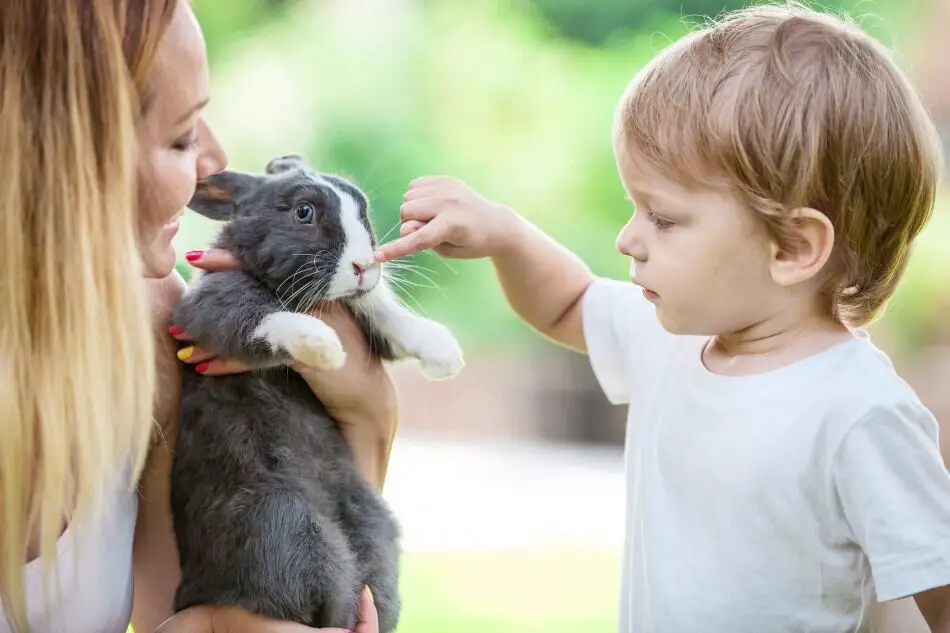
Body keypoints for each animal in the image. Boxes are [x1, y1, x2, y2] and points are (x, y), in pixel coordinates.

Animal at [167, 154, 464, 632]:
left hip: (373, 528)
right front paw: (325, 347)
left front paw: (443, 353)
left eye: (362, 208)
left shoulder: (364, 310)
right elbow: (259, 315)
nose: (364, 265)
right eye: (303, 212)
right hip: (284, 525)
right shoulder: (209, 304)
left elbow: (379, 308)